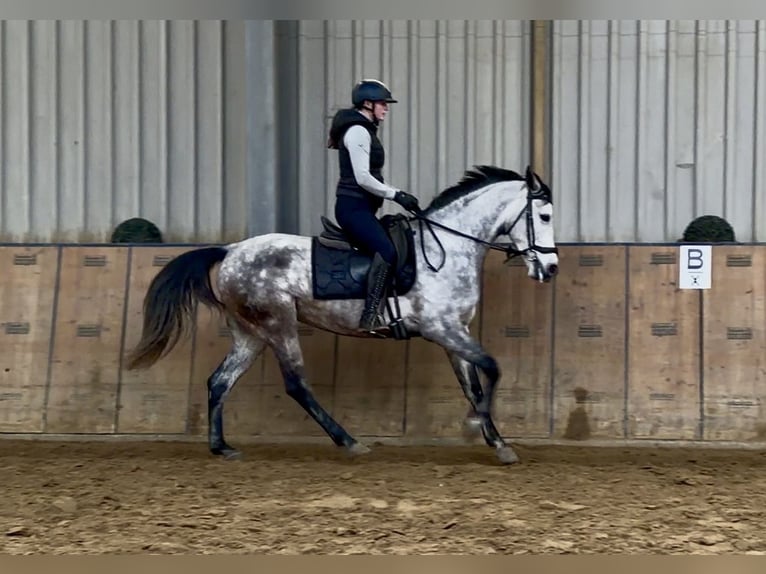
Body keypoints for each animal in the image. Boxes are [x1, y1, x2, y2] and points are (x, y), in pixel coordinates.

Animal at [125, 164, 559, 465]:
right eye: (545, 216)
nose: (551, 269)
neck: (448, 248)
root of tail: (230, 251)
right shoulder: (443, 329)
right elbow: (493, 369)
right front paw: (476, 427)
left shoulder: (456, 332)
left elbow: (475, 384)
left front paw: (497, 443)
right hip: (279, 325)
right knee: (296, 385)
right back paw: (349, 442)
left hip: (251, 334)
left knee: (219, 382)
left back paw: (222, 447)